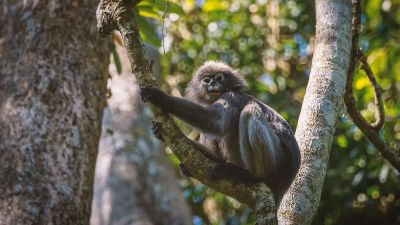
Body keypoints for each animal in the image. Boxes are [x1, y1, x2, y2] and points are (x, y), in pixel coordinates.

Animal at [141, 60, 300, 205]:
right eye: (206, 80)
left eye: (219, 78)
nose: (212, 83)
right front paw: (159, 133)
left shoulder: (232, 97)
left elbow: (216, 123)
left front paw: (162, 98)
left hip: (278, 160)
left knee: (249, 111)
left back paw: (251, 176)